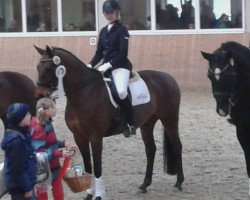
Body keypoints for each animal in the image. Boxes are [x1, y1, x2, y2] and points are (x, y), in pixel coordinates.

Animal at [34, 45, 184, 200]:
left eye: (48, 68)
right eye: (38, 67)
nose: (39, 94)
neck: (84, 92)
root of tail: (169, 77)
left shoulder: (95, 137)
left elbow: (97, 168)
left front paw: (99, 195)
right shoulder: (79, 137)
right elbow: (88, 167)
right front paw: (89, 193)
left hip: (169, 119)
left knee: (177, 146)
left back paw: (179, 182)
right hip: (147, 123)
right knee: (150, 150)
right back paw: (144, 185)